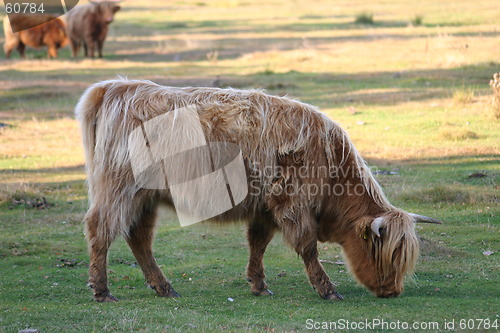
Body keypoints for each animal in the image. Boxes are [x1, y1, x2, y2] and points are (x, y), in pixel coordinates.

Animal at [75, 79, 442, 302]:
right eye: (388, 254)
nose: (392, 291)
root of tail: (116, 87)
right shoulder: (292, 202)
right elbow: (308, 247)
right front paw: (326, 289)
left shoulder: (265, 207)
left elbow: (258, 244)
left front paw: (258, 285)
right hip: (120, 188)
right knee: (101, 228)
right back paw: (102, 291)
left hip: (145, 197)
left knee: (139, 238)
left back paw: (164, 287)